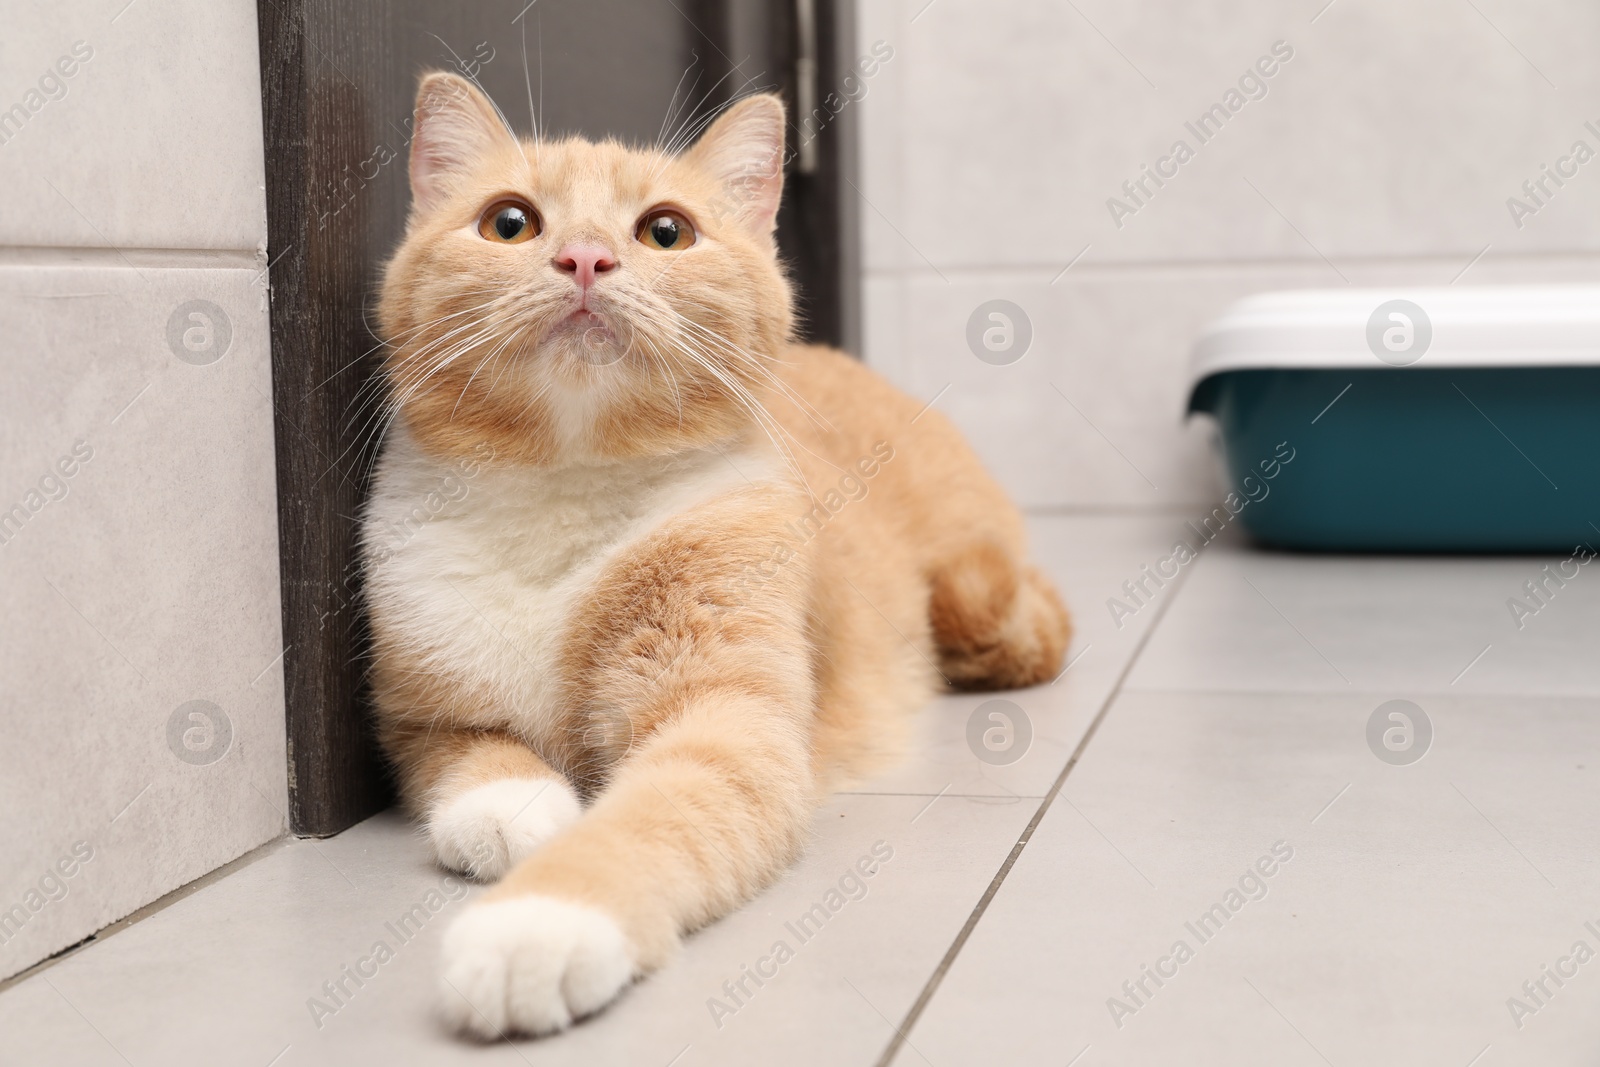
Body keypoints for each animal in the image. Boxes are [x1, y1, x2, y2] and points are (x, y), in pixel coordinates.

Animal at [356, 70, 1068, 1036]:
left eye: (666, 231)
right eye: (510, 223)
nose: (585, 259)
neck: (564, 494)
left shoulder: (728, 727)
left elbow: (646, 823)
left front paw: (538, 920)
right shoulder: (421, 715)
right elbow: (472, 759)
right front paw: (516, 807)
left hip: (978, 600)